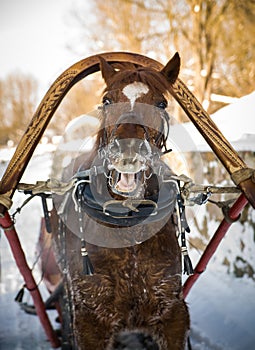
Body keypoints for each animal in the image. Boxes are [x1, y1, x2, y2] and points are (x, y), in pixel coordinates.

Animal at [45, 52, 189, 350]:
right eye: (107, 100)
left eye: (161, 103)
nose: (128, 150)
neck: (127, 226)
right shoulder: (89, 320)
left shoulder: (172, 313)